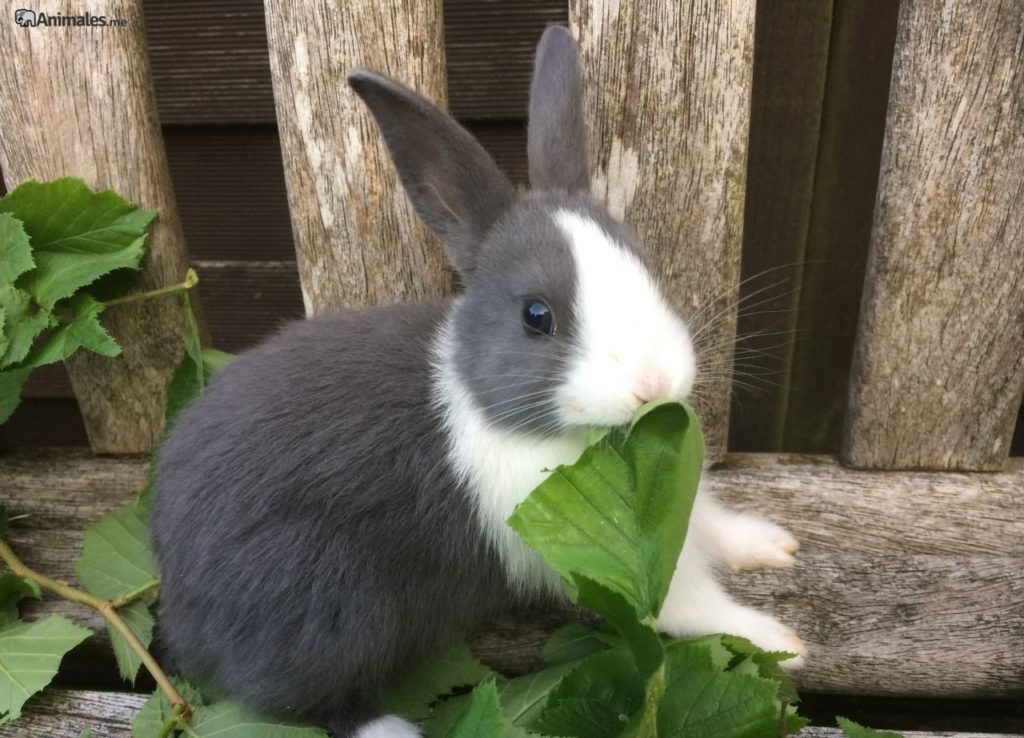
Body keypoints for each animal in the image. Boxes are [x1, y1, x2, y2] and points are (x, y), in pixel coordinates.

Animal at [153, 24, 806, 736]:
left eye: (648, 268)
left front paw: (770, 543)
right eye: (537, 316)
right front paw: (780, 638)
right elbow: (690, 604)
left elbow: (708, 519)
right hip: (329, 608)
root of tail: (182, 608)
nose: (654, 383)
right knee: (306, 700)